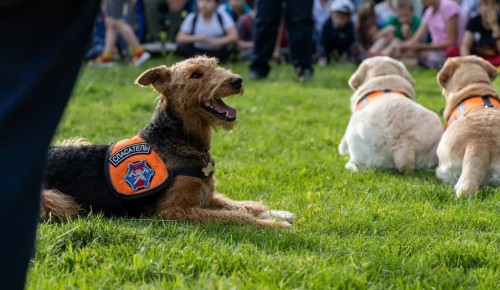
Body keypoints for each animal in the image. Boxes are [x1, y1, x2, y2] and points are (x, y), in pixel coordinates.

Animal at [42, 56, 296, 227]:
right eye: (195, 74)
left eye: (215, 64)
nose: (237, 80)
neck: (178, 141)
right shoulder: (173, 210)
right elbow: (235, 216)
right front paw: (274, 225)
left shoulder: (205, 195)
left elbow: (240, 204)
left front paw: (277, 213)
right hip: (58, 201)